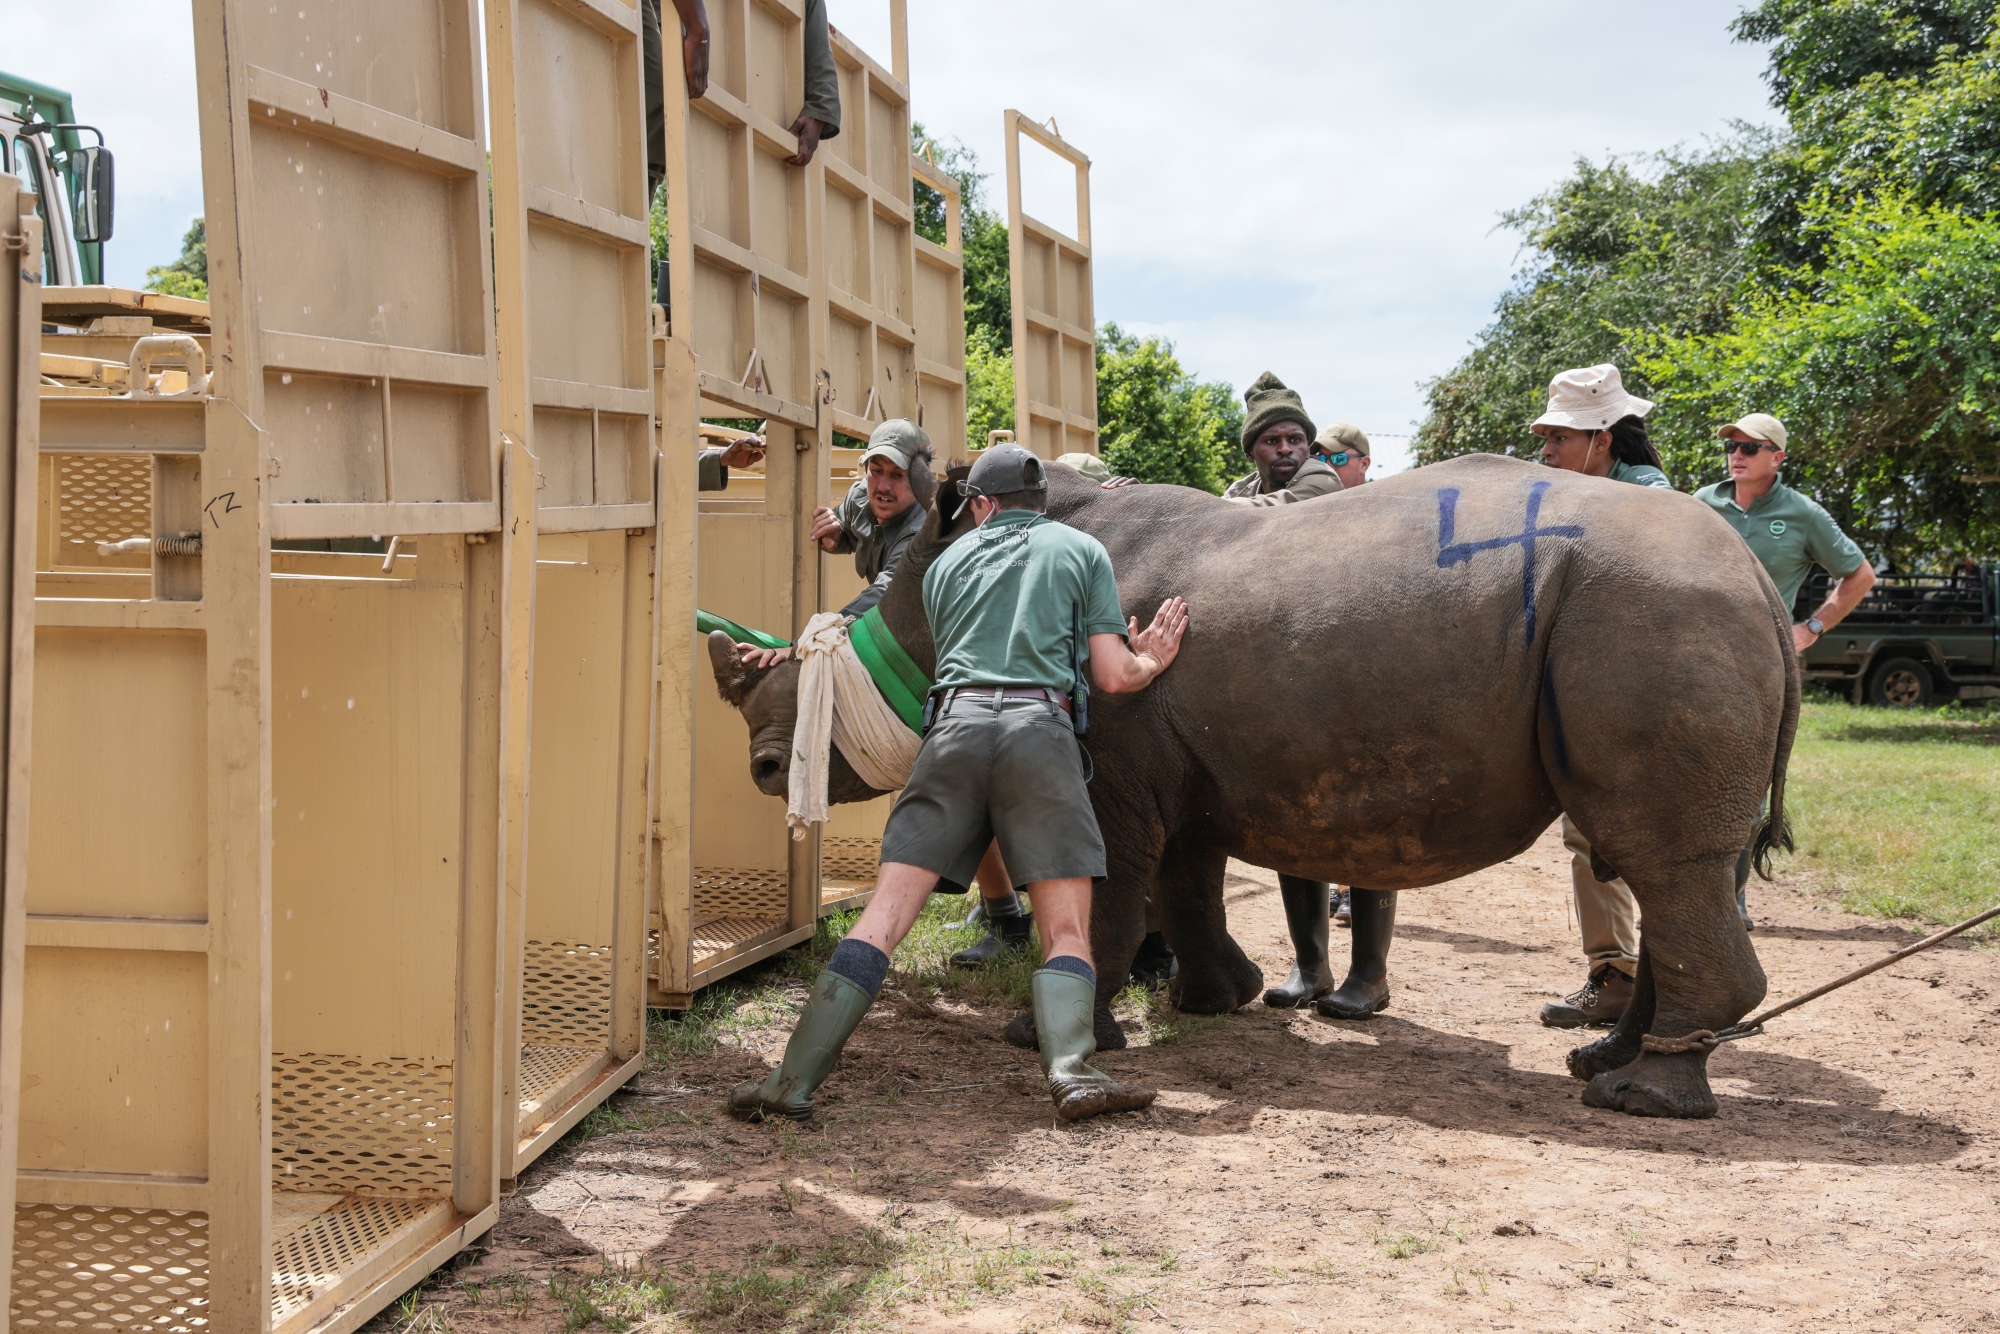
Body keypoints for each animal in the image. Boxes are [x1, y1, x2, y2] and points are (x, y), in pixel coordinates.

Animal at [712, 452, 1808, 1128]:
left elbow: (1112, 890)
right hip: (1650, 620)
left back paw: (1640, 1099)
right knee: (1663, 864)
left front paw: (1046, 1035)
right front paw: (1218, 999)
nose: (762, 768)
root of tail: (1759, 581)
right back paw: (1607, 1066)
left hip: (1650, 616)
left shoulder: (1114, 760)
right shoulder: (1183, 765)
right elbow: (1185, 879)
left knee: (1663, 858)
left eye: (828, 654)